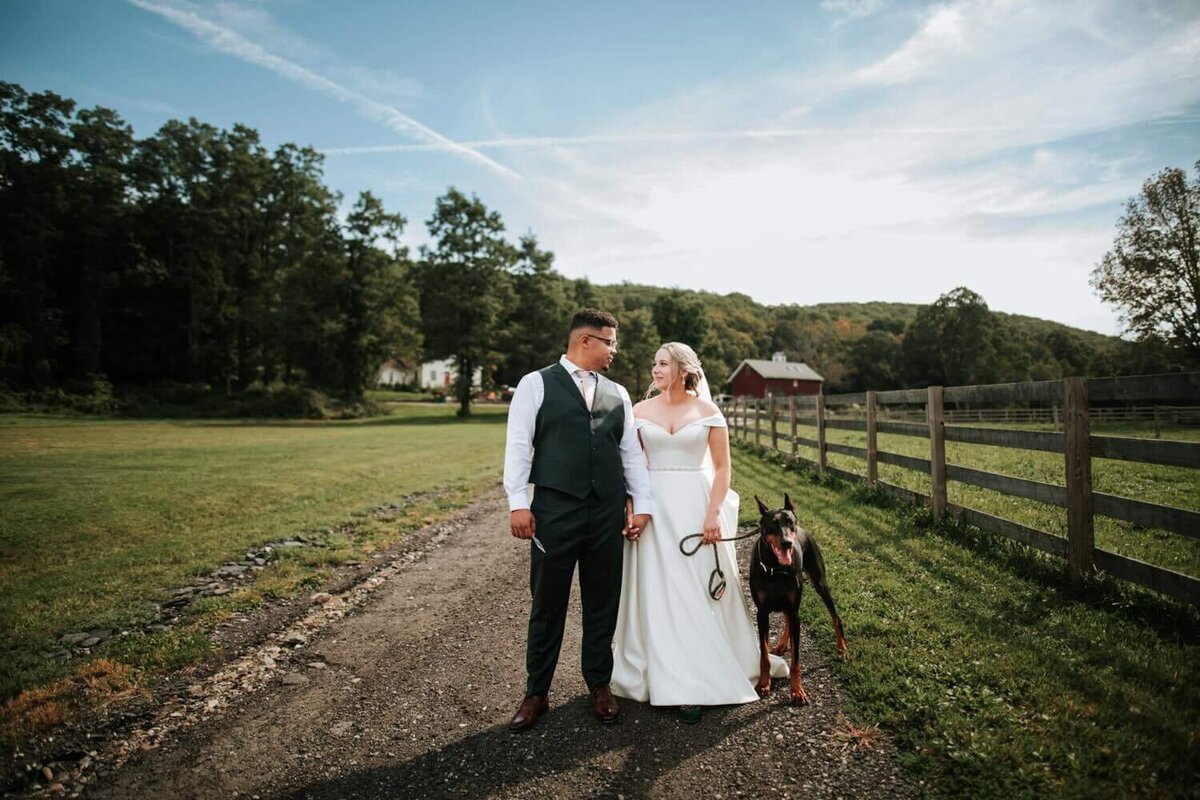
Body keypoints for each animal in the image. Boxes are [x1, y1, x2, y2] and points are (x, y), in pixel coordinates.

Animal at [744, 491, 849, 705]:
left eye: (789, 522)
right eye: (772, 524)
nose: (787, 543)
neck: (775, 568)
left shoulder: (795, 611)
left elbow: (796, 660)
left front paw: (797, 691)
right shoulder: (762, 612)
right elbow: (764, 655)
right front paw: (763, 684)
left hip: (820, 583)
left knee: (836, 617)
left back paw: (842, 649)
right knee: (786, 620)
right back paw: (783, 644)